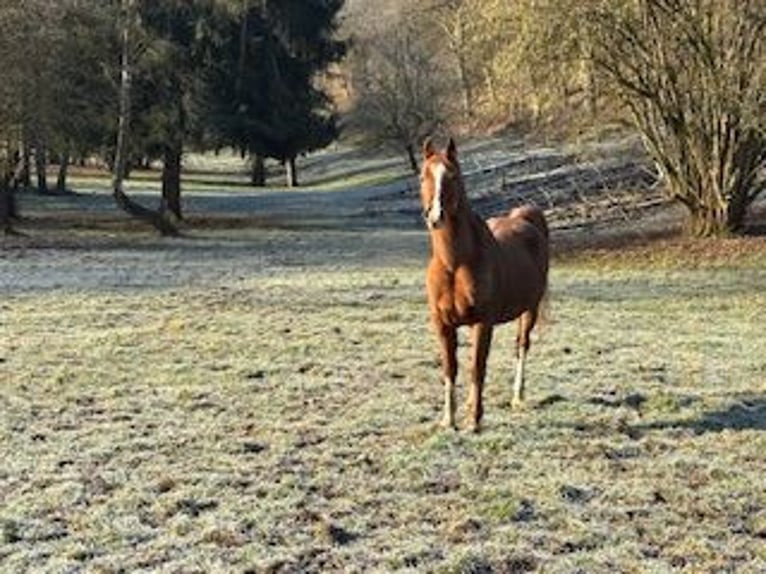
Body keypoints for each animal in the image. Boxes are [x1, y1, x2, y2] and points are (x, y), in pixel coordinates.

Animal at [420, 138, 549, 432]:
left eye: (453, 176)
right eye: (423, 176)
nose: (435, 216)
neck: (454, 264)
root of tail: (526, 217)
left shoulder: (483, 323)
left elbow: (477, 369)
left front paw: (475, 421)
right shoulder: (443, 325)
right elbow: (451, 368)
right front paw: (449, 420)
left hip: (530, 310)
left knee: (521, 346)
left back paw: (517, 397)